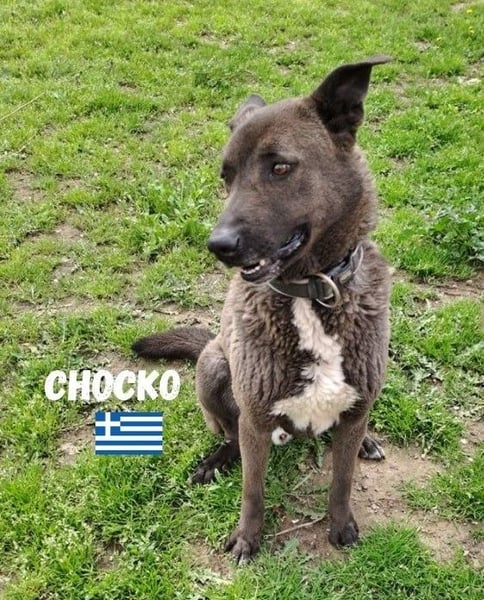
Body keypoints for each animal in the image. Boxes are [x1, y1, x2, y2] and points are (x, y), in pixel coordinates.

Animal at [133, 56, 392, 563]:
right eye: (226, 177)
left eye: (281, 167)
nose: (219, 245)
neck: (313, 291)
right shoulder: (254, 417)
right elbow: (253, 488)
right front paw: (247, 538)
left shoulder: (353, 409)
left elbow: (342, 480)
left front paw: (341, 526)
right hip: (214, 367)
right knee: (229, 433)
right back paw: (214, 462)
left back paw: (367, 439)